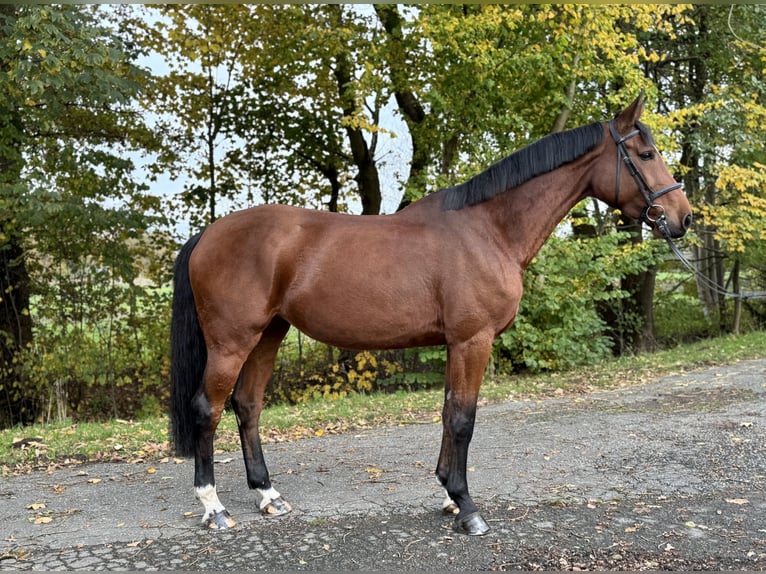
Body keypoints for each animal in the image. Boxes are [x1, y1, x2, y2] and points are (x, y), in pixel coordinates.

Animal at [169, 94, 692, 536]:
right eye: (646, 154)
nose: (682, 217)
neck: (489, 229)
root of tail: (207, 234)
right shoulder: (472, 340)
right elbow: (463, 418)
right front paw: (468, 509)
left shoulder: (455, 344)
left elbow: (447, 414)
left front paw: (449, 496)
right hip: (232, 341)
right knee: (207, 409)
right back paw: (214, 508)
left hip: (269, 334)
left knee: (247, 406)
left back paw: (267, 495)